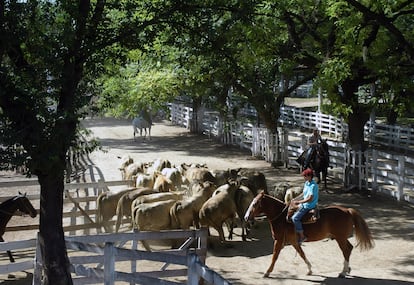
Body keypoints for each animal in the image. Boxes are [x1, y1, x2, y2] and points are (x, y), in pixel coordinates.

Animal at [244, 191, 374, 278]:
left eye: (255, 204)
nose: (246, 217)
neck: (281, 217)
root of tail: (347, 210)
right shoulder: (293, 242)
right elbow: (302, 254)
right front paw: (310, 270)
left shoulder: (279, 240)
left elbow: (275, 256)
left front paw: (267, 272)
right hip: (340, 238)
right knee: (349, 248)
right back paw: (347, 269)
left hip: (340, 238)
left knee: (346, 250)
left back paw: (342, 272)